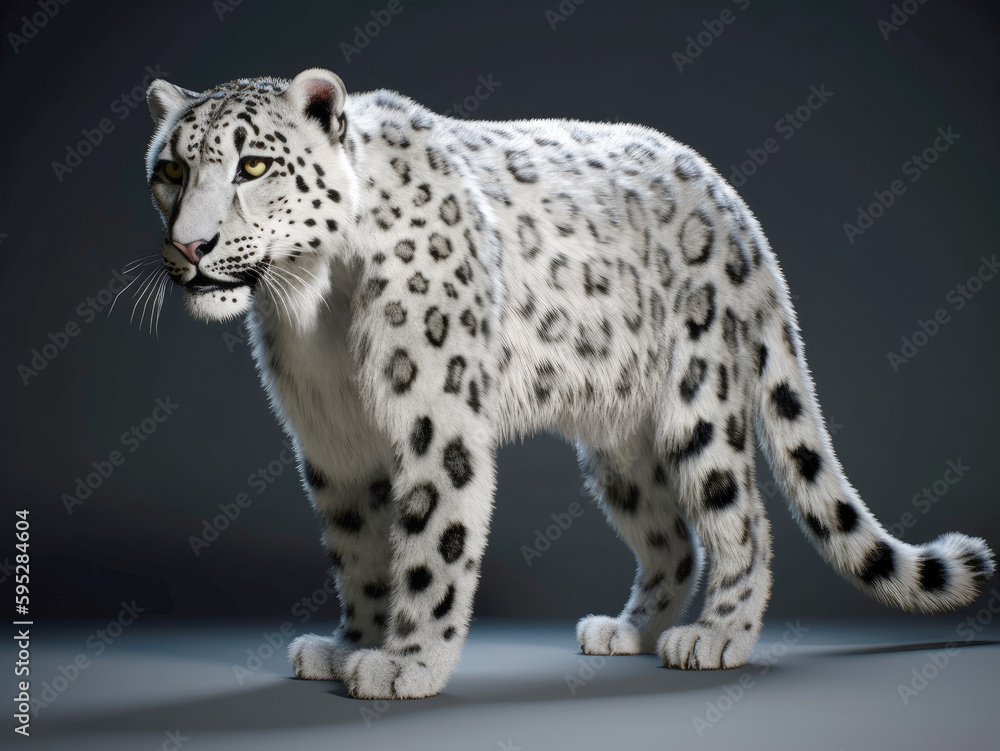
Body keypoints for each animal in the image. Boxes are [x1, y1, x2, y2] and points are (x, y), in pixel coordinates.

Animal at [142, 68, 995, 699]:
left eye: (255, 165)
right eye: (171, 169)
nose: (190, 246)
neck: (311, 299)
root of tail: (734, 208)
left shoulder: (434, 417)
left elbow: (430, 541)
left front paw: (406, 662)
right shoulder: (333, 443)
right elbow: (355, 549)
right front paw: (350, 641)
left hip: (699, 398)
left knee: (741, 516)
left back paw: (714, 635)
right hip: (620, 446)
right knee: (670, 534)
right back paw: (629, 631)